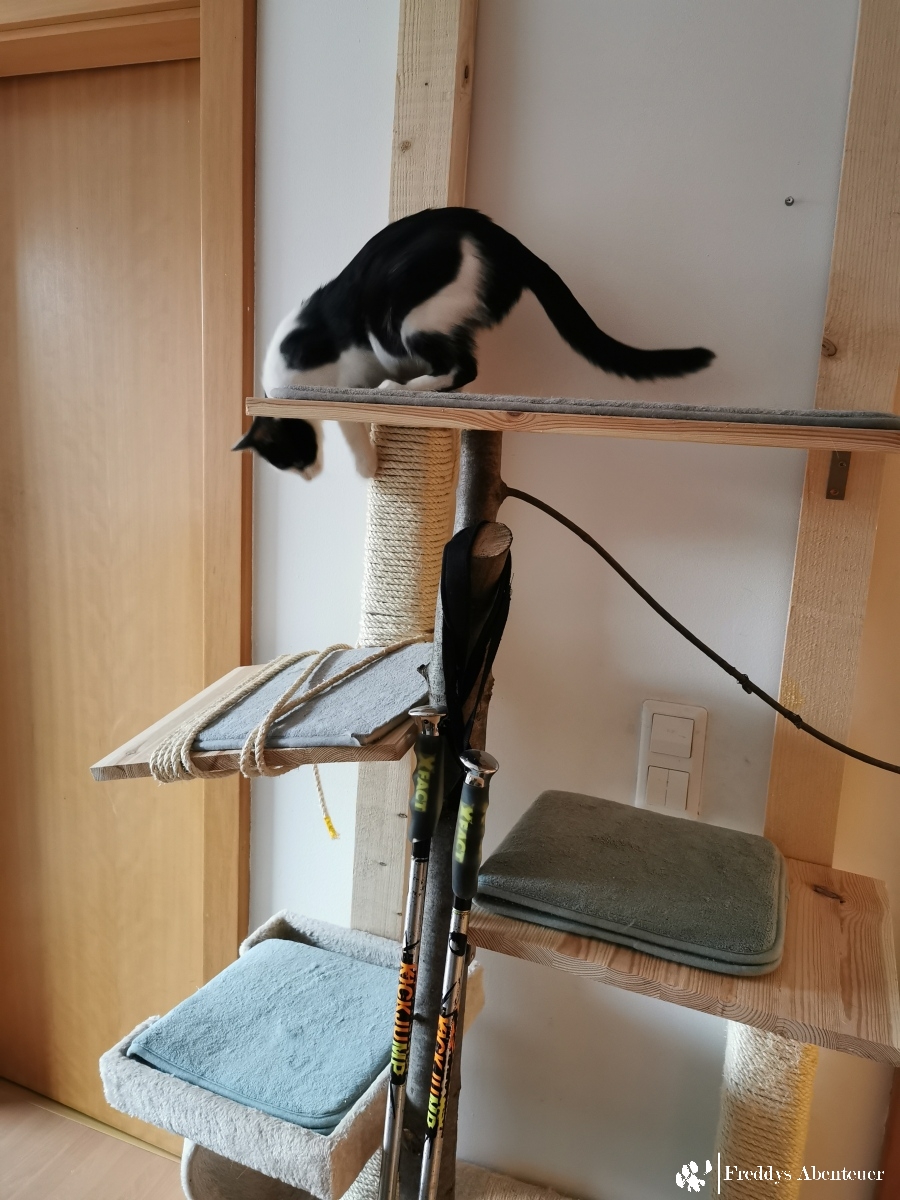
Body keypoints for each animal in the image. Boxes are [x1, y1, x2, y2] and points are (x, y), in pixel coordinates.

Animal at [237, 207, 714, 479]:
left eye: (288, 457)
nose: (309, 477)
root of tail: (496, 233)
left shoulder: (334, 379)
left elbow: (348, 421)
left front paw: (366, 467)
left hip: (409, 315)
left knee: (462, 366)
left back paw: (404, 388)